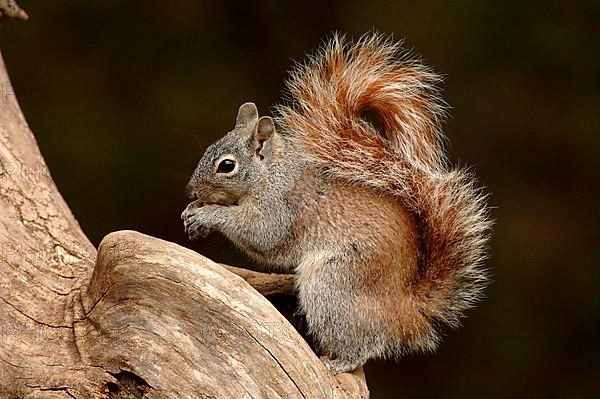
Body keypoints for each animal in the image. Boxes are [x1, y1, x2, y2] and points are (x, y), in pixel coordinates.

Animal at [183, 34, 492, 376]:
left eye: (227, 166)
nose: (189, 190)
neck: (272, 172)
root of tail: (404, 308)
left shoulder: (280, 206)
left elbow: (259, 234)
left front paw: (207, 214)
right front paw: (191, 212)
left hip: (333, 284)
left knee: (363, 344)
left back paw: (337, 362)